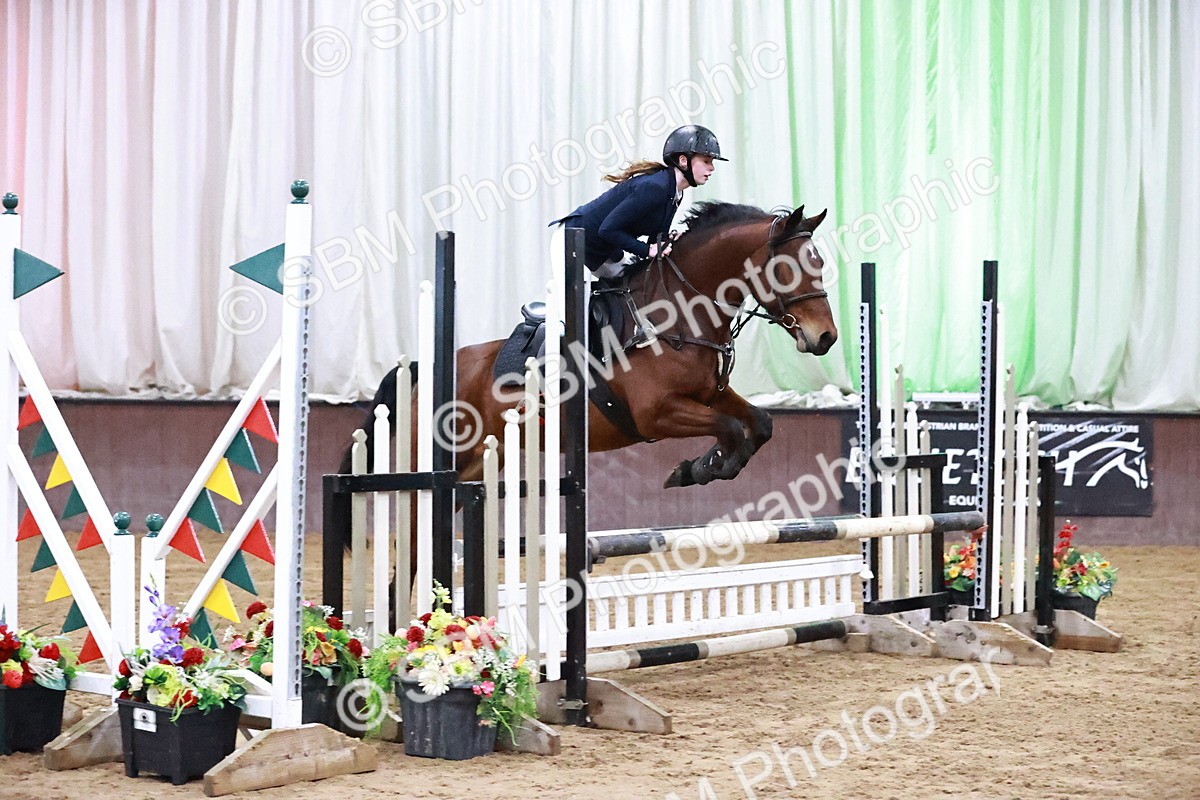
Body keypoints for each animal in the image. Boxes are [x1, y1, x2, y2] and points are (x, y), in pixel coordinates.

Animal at [335, 201, 837, 554]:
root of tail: (425, 374)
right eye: (788, 268)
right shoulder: (657, 415)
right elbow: (731, 429)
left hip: (473, 469)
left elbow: (759, 425)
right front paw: (700, 467)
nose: (826, 337)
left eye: (820, 265)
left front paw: (703, 466)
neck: (676, 316)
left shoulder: (711, 395)